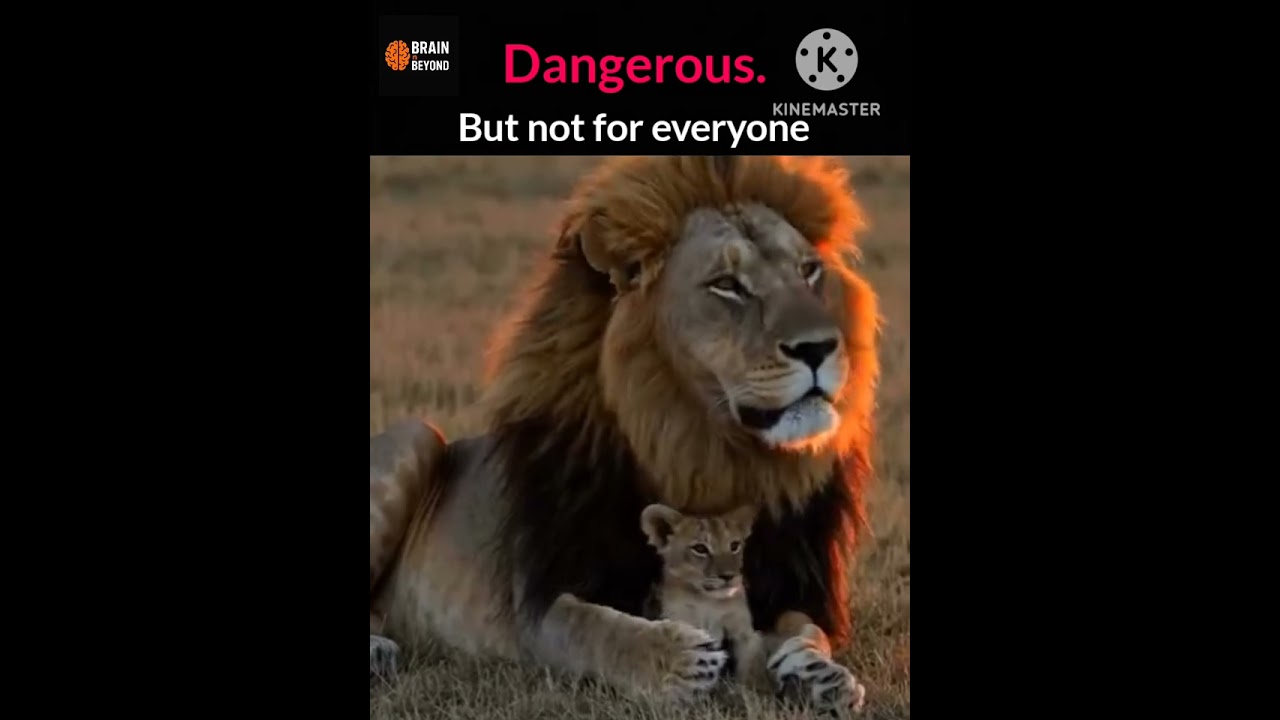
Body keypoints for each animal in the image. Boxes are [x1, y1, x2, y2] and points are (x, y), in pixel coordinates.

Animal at [369, 156, 879, 716]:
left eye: (809, 271)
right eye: (727, 284)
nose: (822, 347)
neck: (706, 455)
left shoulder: (790, 584)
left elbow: (805, 629)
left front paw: (821, 673)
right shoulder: (541, 600)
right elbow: (596, 628)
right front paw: (679, 659)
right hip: (417, 434)